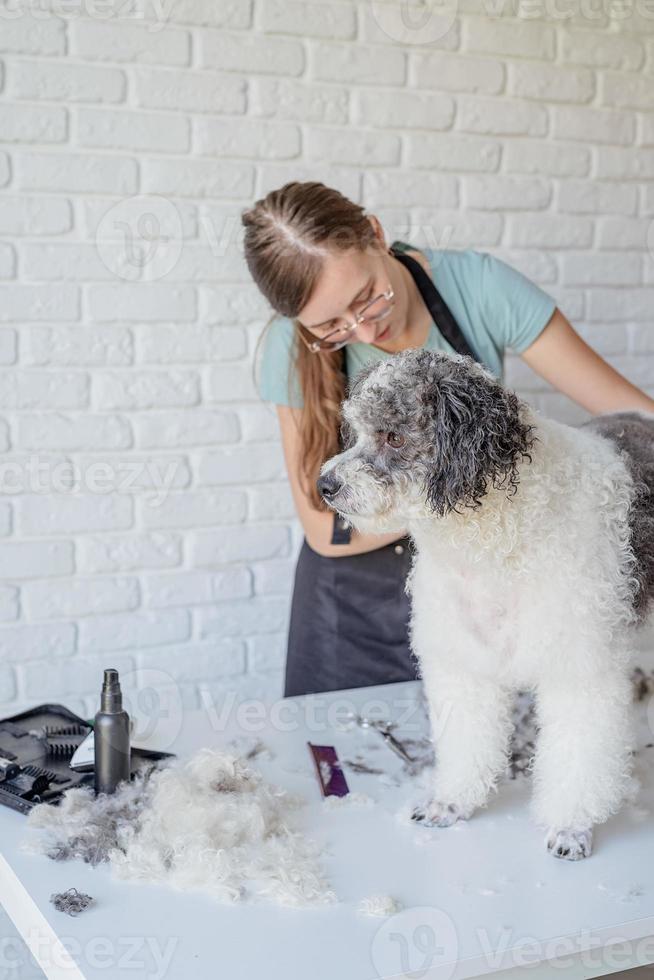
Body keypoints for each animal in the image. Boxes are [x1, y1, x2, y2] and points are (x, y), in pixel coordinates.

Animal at [320, 348, 654, 860]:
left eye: (393, 436)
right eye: (355, 432)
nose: (325, 485)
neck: (499, 537)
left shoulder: (579, 672)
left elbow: (577, 761)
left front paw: (570, 828)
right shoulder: (464, 666)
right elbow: (467, 746)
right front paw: (451, 804)